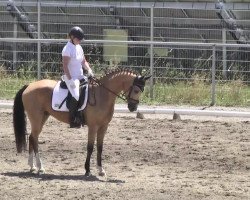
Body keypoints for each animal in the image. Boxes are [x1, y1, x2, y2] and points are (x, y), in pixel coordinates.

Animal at [13, 69, 150, 177]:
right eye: (136, 90)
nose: (133, 107)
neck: (102, 94)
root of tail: (29, 86)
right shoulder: (93, 127)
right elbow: (90, 147)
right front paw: (87, 170)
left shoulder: (103, 127)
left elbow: (100, 147)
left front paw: (101, 170)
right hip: (36, 118)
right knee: (34, 139)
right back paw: (40, 167)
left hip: (43, 117)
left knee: (32, 137)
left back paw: (32, 167)